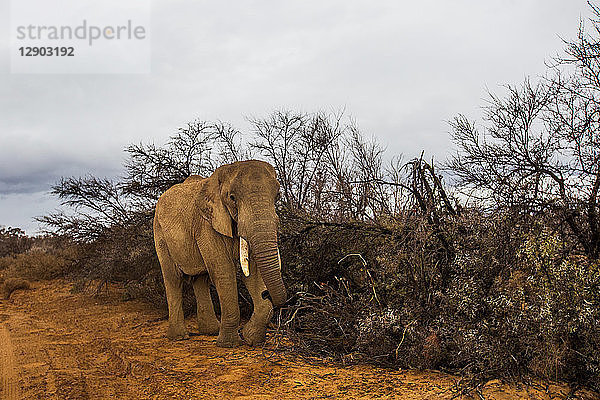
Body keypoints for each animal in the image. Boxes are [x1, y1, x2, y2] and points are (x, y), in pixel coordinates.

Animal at [154, 159, 288, 346]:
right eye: (232, 198)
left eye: (277, 196)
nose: (266, 294)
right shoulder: (206, 224)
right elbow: (224, 271)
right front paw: (229, 344)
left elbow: (252, 272)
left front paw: (250, 339)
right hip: (160, 233)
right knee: (173, 278)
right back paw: (179, 337)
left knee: (201, 279)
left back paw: (210, 331)